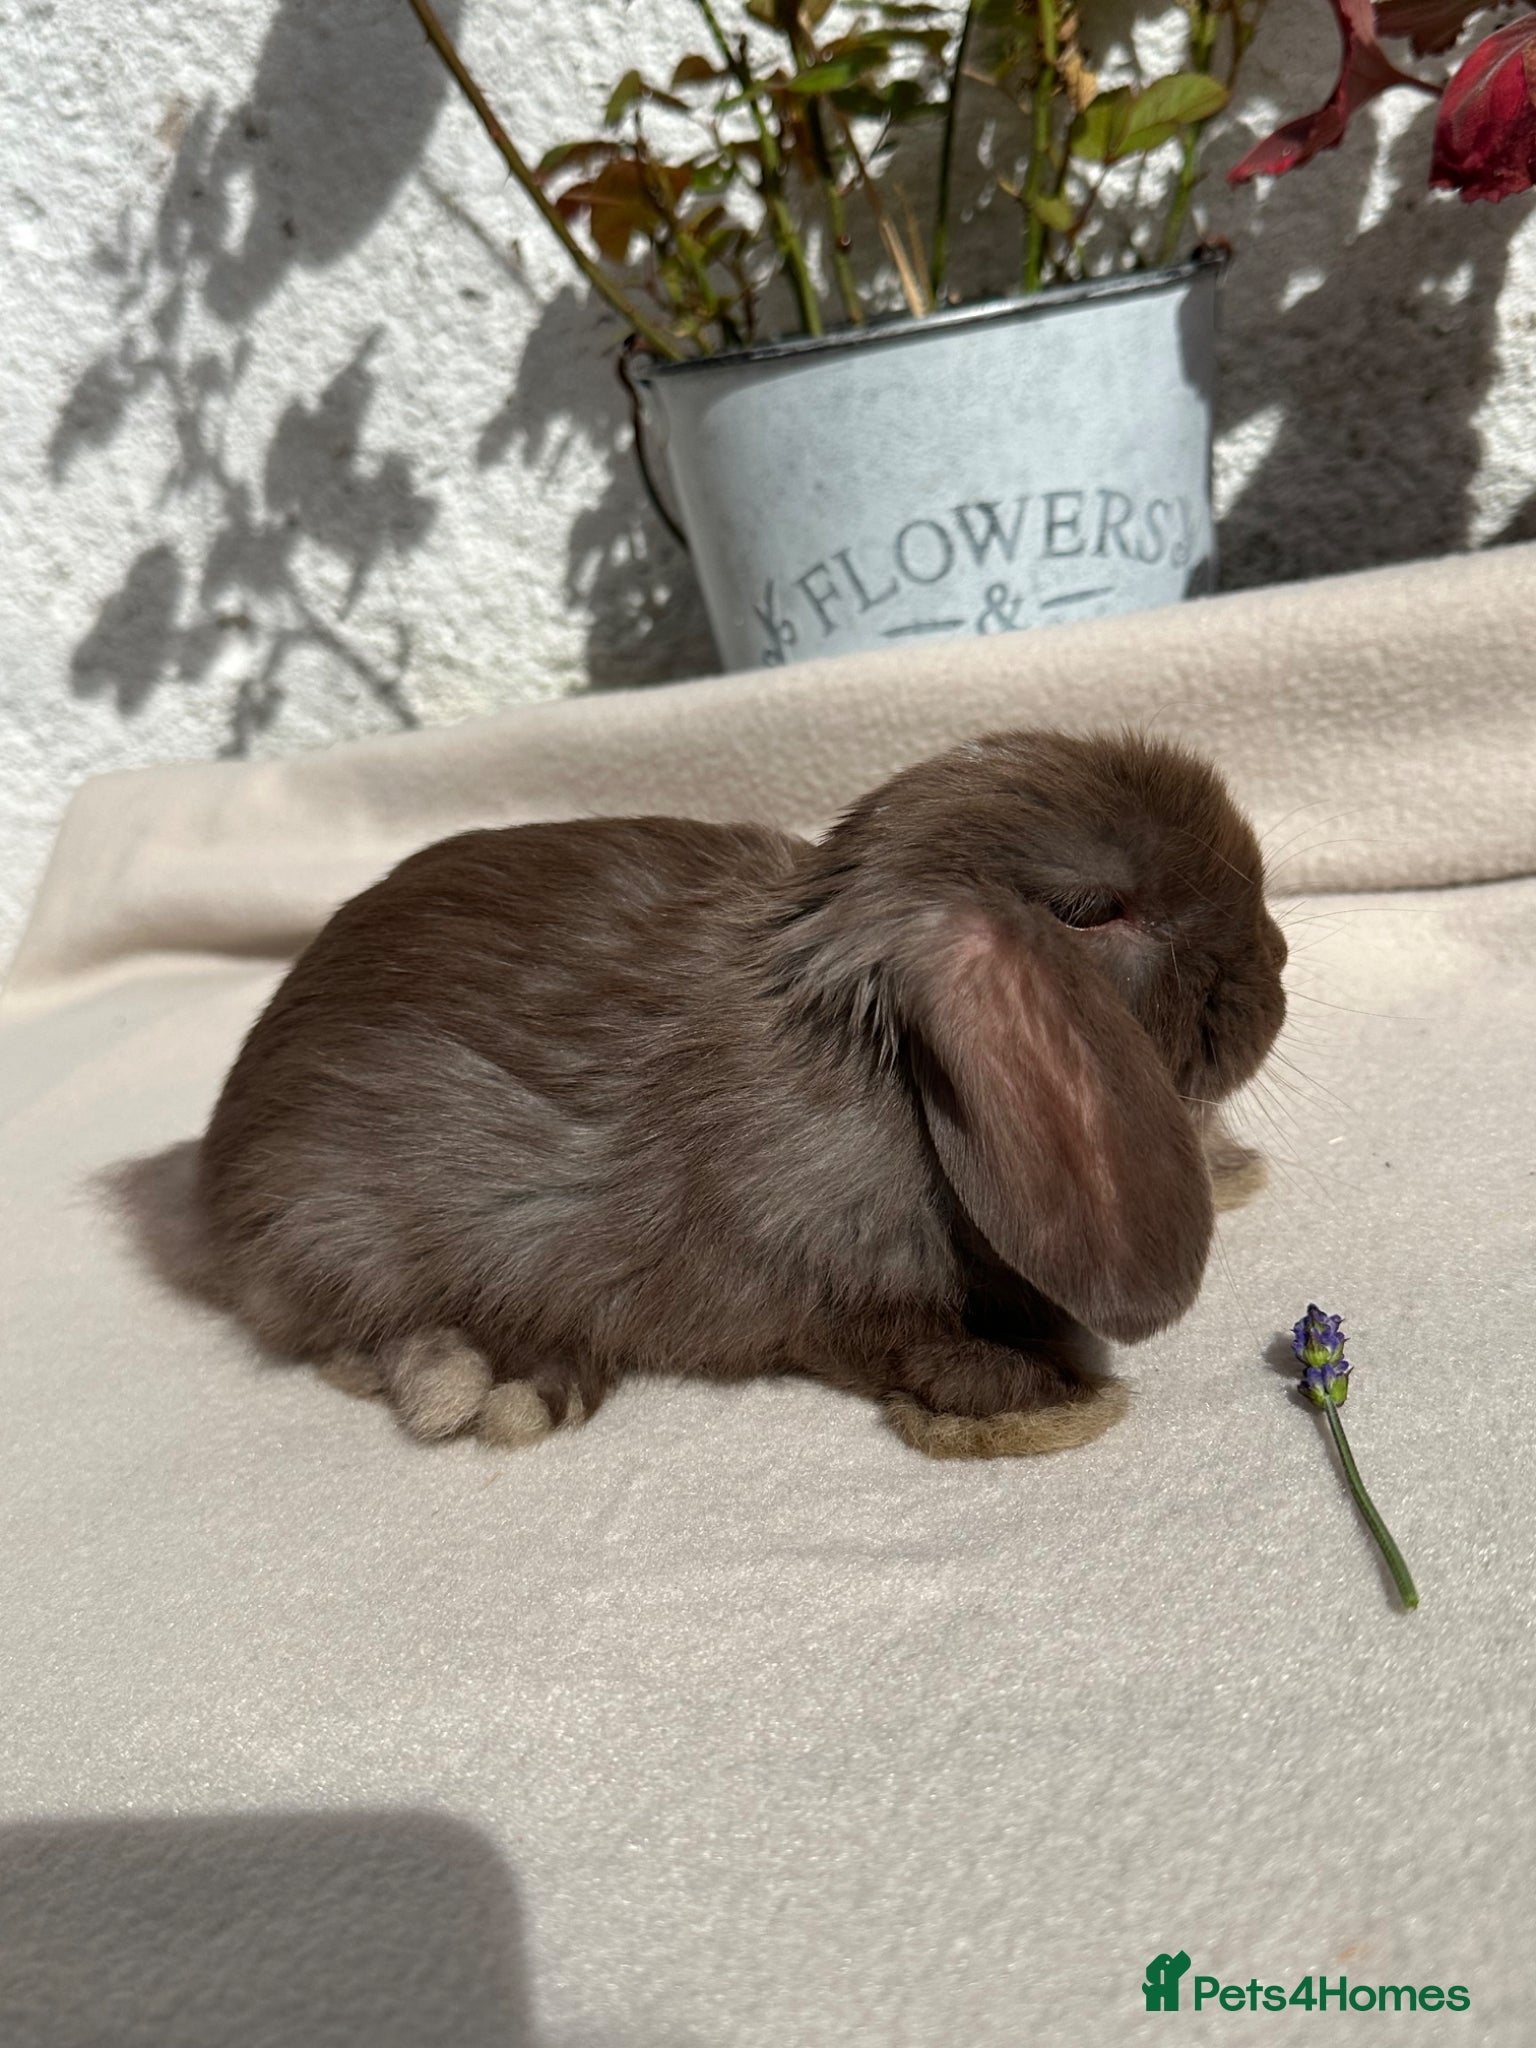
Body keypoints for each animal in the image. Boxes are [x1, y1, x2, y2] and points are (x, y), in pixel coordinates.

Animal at [190, 728, 1286, 1459]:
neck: (880, 1070)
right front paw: (1046, 1399)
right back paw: (497, 1379)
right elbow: (900, 1338)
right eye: (1091, 911)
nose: (1275, 971)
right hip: (334, 1226)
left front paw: (1231, 1167)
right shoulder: (818, 1278)